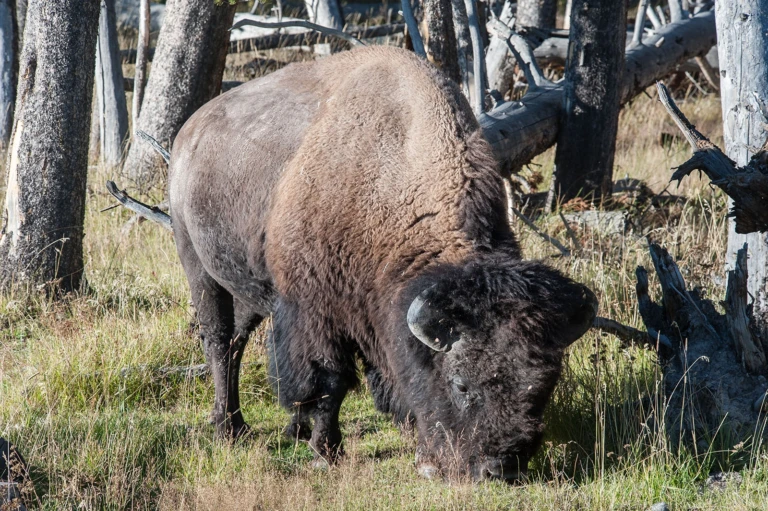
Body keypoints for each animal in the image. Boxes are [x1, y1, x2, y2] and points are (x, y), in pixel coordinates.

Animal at [157, 46, 597, 481]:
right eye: (460, 384)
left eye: (543, 386)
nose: (500, 467)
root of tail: (188, 132)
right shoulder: (315, 313)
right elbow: (328, 381)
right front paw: (326, 452)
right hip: (198, 266)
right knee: (218, 341)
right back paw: (229, 428)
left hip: (248, 288)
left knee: (238, 341)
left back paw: (282, 427)